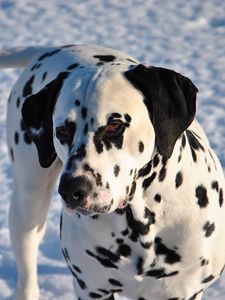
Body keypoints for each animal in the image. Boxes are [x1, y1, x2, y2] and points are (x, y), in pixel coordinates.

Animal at [0, 45, 225, 300]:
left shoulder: (184, 291)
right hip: (28, 202)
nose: (71, 189)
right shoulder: (91, 289)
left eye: (114, 125)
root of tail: (53, 48)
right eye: (61, 131)